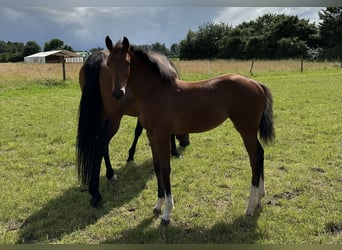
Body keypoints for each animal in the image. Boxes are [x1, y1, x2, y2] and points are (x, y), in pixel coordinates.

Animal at [76, 49, 188, 206]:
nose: (186, 142)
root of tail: (99, 56)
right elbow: (140, 132)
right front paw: (174, 152)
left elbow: (137, 132)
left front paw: (130, 156)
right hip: (114, 119)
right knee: (100, 145)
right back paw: (95, 193)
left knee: (102, 145)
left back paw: (111, 174)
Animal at [105, 35, 276, 225]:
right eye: (109, 63)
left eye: (127, 63)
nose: (118, 93)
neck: (155, 92)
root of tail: (256, 83)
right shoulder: (151, 135)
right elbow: (157, 166)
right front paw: (158, 205)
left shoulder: (162, 135)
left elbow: (165, 168)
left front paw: (167, 213)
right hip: (250, 131)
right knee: (260, 154)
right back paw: (260, 197)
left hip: (246, 129)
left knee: (255, 158)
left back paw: (250, 206)